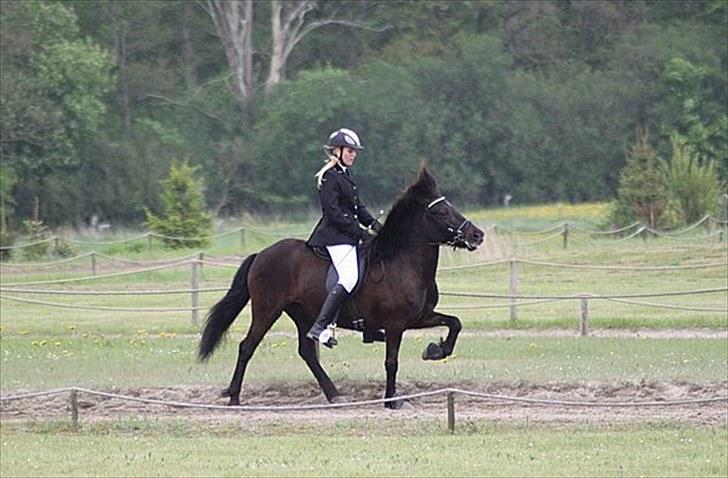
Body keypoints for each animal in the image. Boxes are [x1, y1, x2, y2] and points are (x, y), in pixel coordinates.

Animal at [198, 166, 484, 408]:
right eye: (442, 212)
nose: (477, 235)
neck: (403, 262)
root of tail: (261, 254)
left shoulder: (418, 317)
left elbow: (455, 323)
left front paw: (435, 350)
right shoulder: (395, 324)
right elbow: (391, 362)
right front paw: (392, 400)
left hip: (303, 313)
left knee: (307, 352)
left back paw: (335, 395)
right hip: (267, 310)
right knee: (247, 346)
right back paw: (234, 397)